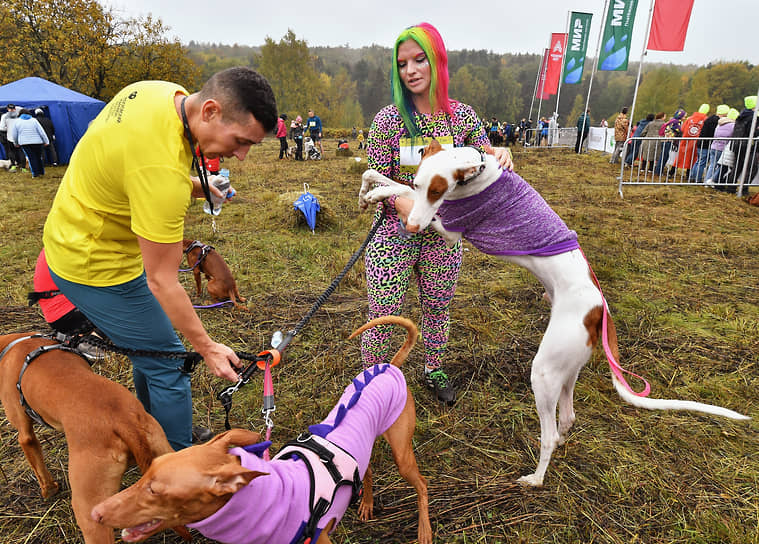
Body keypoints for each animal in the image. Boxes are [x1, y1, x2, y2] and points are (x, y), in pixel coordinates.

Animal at [0, 334, 187, 540]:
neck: (14, 344)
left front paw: (49, 491)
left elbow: (38, 467)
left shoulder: (26, 436)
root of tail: (123, 421)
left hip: (89, 511)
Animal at [92, 316, 430, 540]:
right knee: (367, 471)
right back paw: (367, 503)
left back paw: (424, 530)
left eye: (155, 491)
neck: (272, 494)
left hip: (402, 452)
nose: (96, 513)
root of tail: (389, 366)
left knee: (422, 485)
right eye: (145, 472)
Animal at [360, 139, 752, 484]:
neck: (478, 170)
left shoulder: (452, 228)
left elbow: (408, 198)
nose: (411, 227)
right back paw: (560, 442)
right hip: (566, 370)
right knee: (568, 417)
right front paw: (372, 189)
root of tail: (599, 310)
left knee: (548, 433)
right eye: (421, 183)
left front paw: (381, 194)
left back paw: (535, 479)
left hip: (544, 372)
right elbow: (388, 179)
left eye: (438, 192)